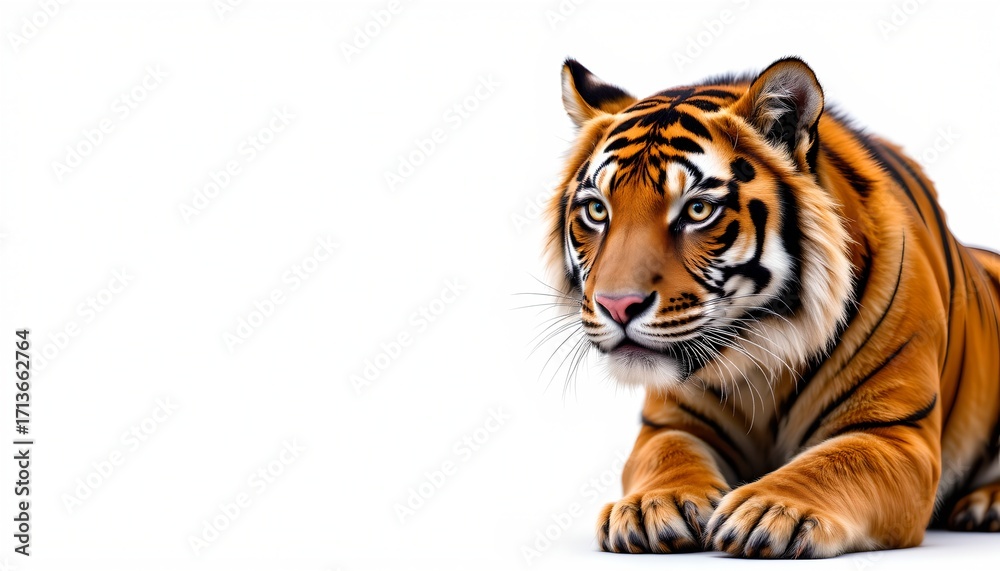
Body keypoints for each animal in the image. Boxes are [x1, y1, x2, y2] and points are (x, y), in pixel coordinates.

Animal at [543, 56, 1000, 558]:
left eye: (698, 210)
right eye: (597, 211)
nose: (617, 305)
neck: (761, 356)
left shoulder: (895, 432)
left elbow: (839, 463)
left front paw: (773, 509)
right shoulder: (668, 424)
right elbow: (665, 456)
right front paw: (651, 505)